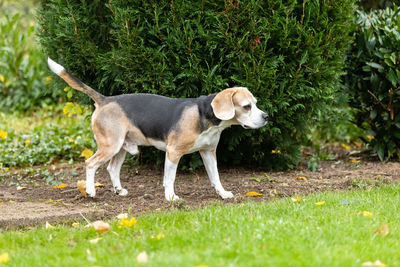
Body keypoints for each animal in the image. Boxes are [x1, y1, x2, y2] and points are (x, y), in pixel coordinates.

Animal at [47, 58, 268, 201]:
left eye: (256, 104)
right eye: (247, 106)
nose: (266, 117)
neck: (205, 115)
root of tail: (105, 99)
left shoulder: (208, 152)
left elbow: (216, 177)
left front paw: (222, 194)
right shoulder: (173, 152)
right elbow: (169, 178)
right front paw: (171, 197)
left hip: (121, 147)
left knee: (112, 168)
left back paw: (119, 190)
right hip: (110, 145)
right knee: (90, 164)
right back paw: (91, 191)